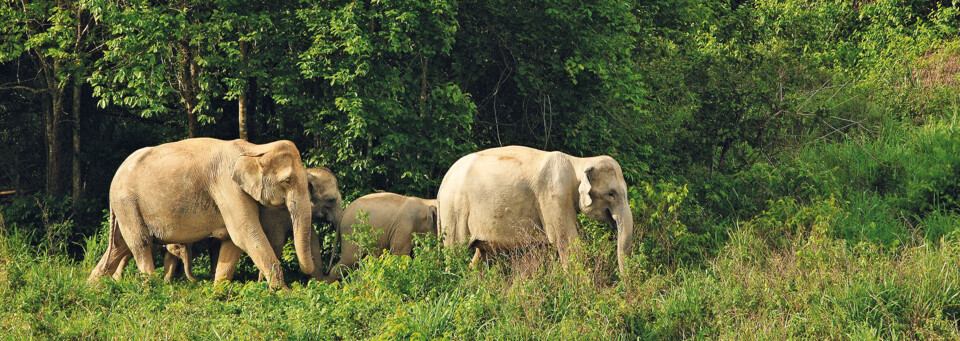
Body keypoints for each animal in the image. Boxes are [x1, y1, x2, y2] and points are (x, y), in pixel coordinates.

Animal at [88, 137, 318, 288]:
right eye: (287, 180)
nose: (307, 276)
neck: (254, 148)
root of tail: (114, 177)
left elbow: (233, 241)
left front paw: (219, 292)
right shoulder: (226, 186)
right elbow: (244, 233)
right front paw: (284, 293)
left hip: (126, 207)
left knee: (119, 245)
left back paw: (92, 287)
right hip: (127, 202)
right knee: (140, 243)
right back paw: (151, 288)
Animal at [436, 145, 632, 274]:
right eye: (611, 194)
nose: (623, 284)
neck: (578, 162)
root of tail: (441, 186)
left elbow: (538, 250)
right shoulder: (554, 196)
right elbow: (566, 242)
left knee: (480, 254)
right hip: (454, 209)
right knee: (455, 251)